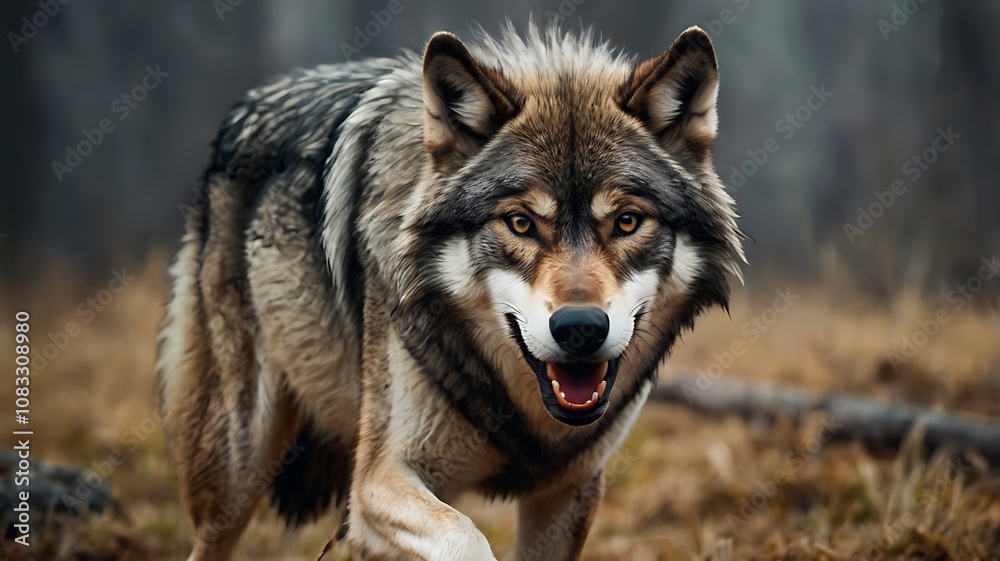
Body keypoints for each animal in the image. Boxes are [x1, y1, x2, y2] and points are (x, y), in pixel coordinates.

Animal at [158, 22, 743, 561]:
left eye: (626, 221)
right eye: (520, 223)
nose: (580, 328)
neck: (525, 413)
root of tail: (247, 103)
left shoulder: (568, 494)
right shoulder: (377, 480)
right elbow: (466, 537)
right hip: (236, 473)